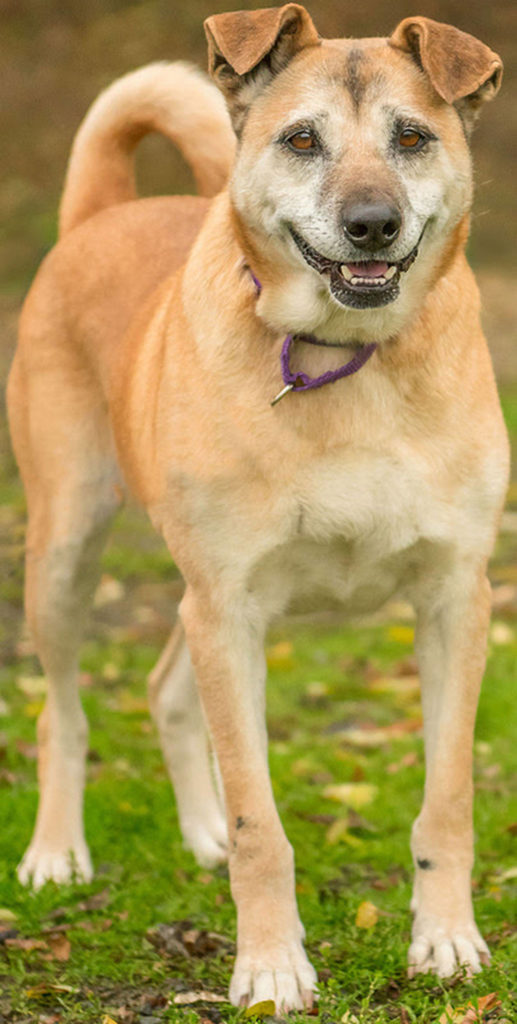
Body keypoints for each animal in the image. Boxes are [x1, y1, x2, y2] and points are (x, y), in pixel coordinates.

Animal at [7, 6, 507, 1015]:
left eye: (411, 137)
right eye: (301, 139)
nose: (371, 225)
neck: (349, 360)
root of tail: (101, 212)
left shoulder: (454, 600)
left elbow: (446, 800)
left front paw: (444, 940)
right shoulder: (229, 607)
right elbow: (258, 822)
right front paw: (270, 966)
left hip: (185, 592)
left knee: (166, 690)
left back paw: (195, 836)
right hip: (68, 549)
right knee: (62, 714)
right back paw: (56, 854)